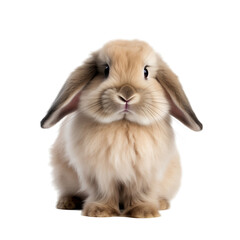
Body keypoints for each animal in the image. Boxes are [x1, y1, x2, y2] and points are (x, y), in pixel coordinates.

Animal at [40, 39, 202, 218]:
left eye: (146, 71)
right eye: (106, 70)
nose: (126, 94)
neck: (124, 125)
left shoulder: (144, 174)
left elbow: (140, 193)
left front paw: (144, 212)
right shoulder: (100, 175)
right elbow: (104, 192)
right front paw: (99, 211)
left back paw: (161, 203)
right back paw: (67, 203)